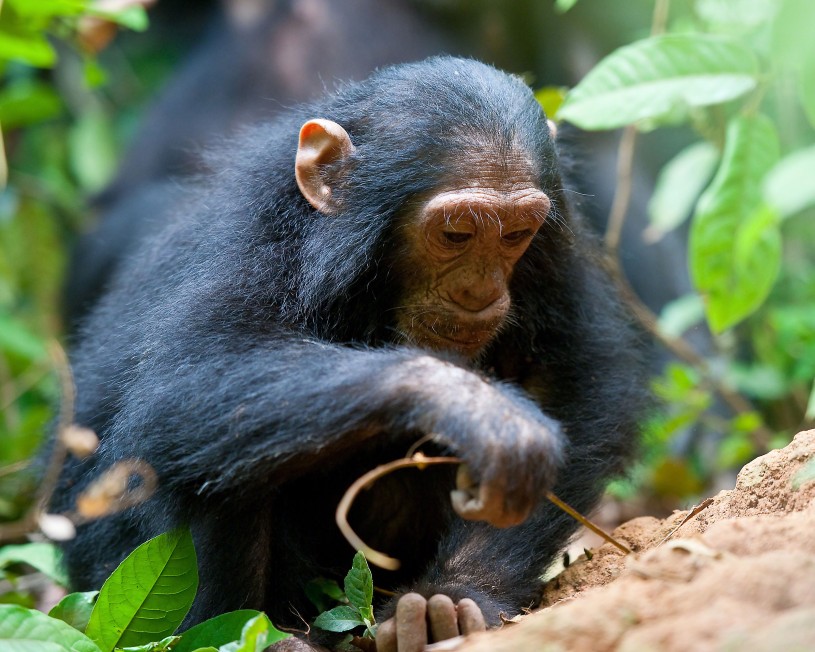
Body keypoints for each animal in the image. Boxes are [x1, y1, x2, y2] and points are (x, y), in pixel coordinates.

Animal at [54, 58, 648, 648]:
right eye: (456, 234)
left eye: (516, 234)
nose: (478, 291)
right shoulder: (249, 243)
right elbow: (193, 374)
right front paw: (480, 412)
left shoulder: (557, 252)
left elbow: (573, 381)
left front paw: (457, 596)